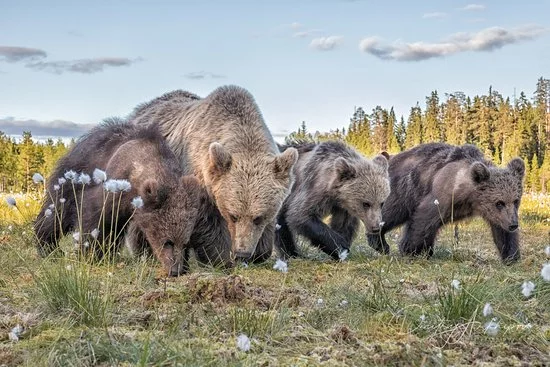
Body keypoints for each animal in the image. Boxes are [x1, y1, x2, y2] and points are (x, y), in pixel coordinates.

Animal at [34, 119, 233, 278]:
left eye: (185, 243)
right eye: (167, 242)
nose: (175, 271)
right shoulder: (113, 187)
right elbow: (94, 218)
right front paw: (89, 253)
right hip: (72, 177)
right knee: (58, 213)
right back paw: (48, 245)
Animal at [128, 86, 300, 264]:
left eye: (258, 218)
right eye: (233, 216)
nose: (242, 253)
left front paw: (260, 252)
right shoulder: (198, 175)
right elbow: (208, 223)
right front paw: (220, 257)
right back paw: (145, 252)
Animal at [368, 142, 528, 264]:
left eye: (516, 200)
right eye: (499, 202)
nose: (513, 224)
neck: (470, 197)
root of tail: (390, 158)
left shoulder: (494, 214)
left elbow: (502, 231)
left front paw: (511, 256)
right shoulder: (441, 195)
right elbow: (423, 220)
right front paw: (410, 250)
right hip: (403, 190)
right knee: (392, 212)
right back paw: (380, 243)